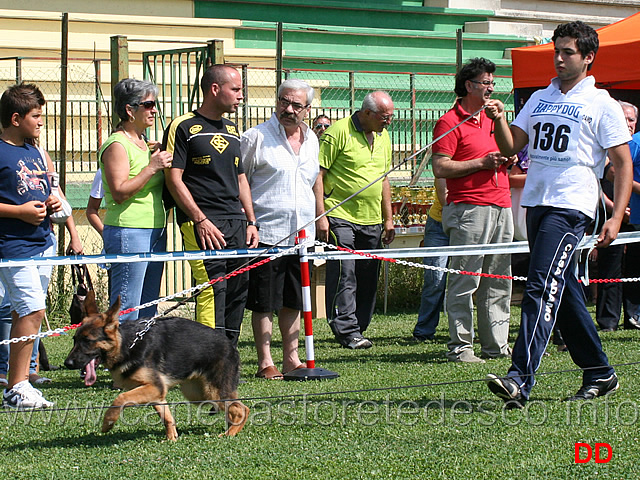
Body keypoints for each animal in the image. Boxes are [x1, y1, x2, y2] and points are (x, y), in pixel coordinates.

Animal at [62, 290, 248, 440]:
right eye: (74, 340)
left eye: (87, 341)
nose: (67, 363)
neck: (127, 345)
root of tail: (231, 346)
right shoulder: (156, 392)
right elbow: (167, 416)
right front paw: (172, 438)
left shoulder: (153, 387)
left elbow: (120, 398)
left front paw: (108, 422)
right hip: (197, 394)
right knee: (235, 408)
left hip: (214, 392)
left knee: (243, 409)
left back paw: (230, 433)